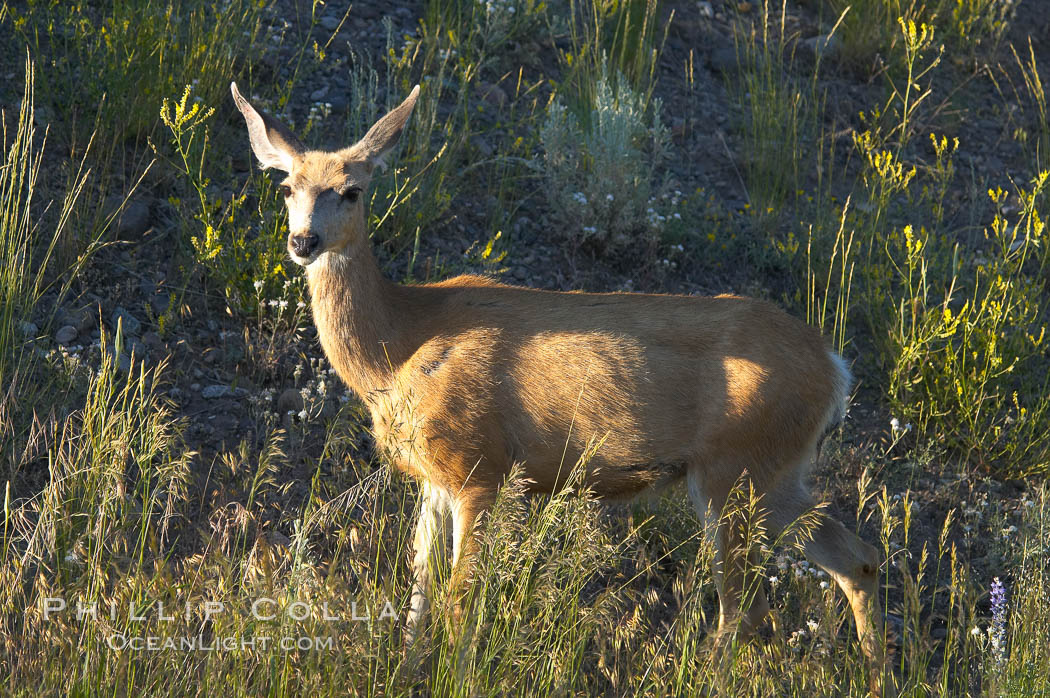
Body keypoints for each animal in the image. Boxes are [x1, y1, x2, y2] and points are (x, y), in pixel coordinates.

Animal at [229, 80, 886, 684]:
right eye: (286, 187)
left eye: (351, 190)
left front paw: (456, 678)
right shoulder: (434, 478)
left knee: (746, 611)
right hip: (775, 473)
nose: (303, 241)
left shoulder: (482, 467)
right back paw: (878, 672)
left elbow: (459, 604)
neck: (396, 350)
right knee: (857, 558)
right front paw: (407, 671)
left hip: (734, 471)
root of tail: (835, 367)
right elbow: (418, 595)